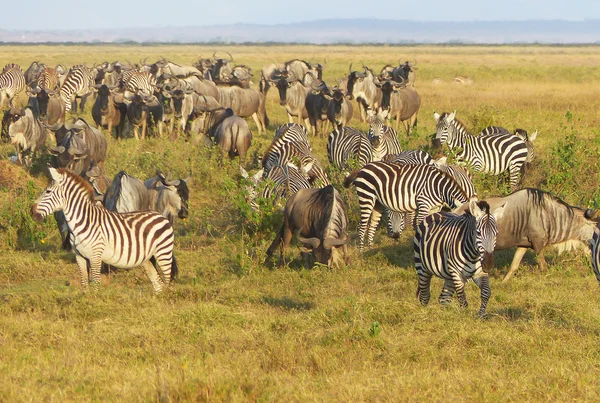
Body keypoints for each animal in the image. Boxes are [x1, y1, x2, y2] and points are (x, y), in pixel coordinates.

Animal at [31, 167, 176, 294]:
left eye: (48, 192)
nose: (32, 212)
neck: (82, 221)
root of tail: (160, 215)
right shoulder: (79, 256)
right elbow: (84, 282)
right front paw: (84, 301)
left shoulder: (95, 255)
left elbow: (95, 283)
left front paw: (95, 303)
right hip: (147, 259)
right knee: (158, 283)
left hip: (163, 253)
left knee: (167, 281)